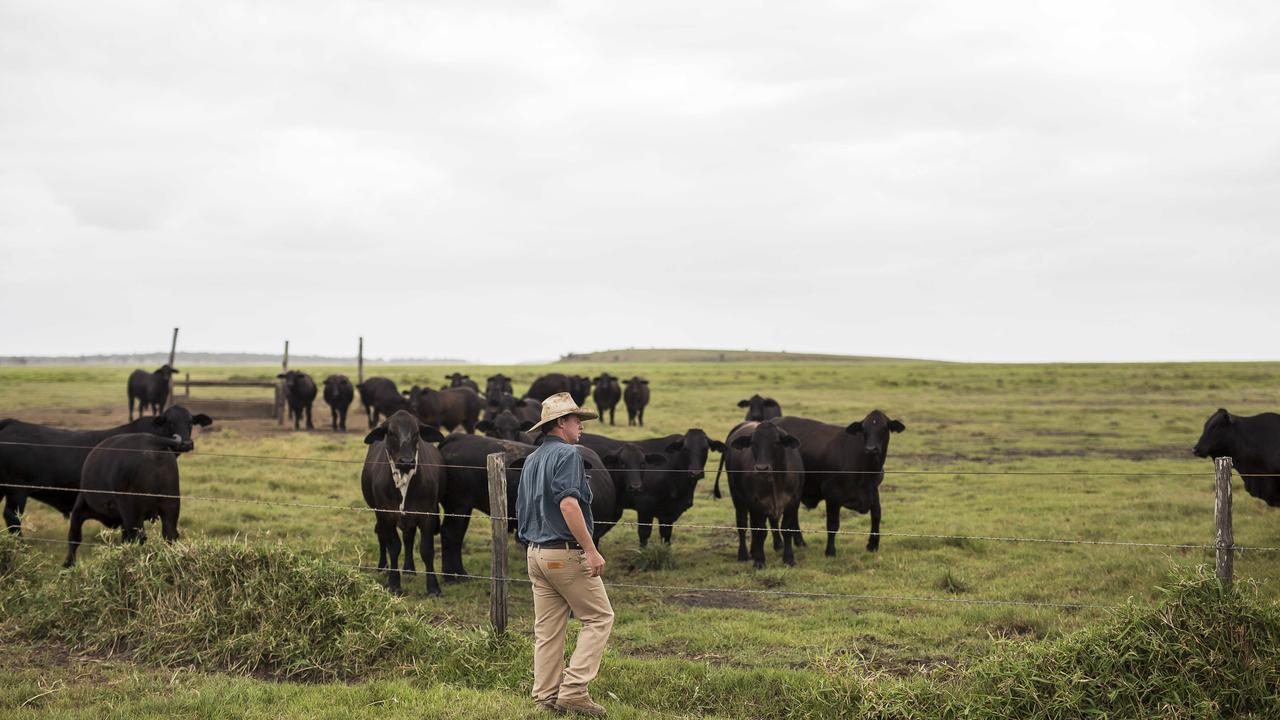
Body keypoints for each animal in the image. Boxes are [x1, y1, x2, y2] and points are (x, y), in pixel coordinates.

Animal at [0, 404, 212, 532]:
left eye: (191, 422)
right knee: (12, 517)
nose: (186, 443)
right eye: (170, 422)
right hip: (17, 491)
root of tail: (11, 423)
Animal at [62, 430, 188, 566]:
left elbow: (74, 536)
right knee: (170, 535)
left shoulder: (80, 508)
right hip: (170, 506)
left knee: (139, 538)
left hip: (133, 513)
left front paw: (68, 564)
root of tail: (152, 441)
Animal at [363, 409, 448, 594]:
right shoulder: (385, 514)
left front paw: (433, 586)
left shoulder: (427, 514)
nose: (407, 461)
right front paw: (394, 583)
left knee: (409, 537)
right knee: (382, 536)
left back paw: (409, 568)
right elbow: (393, 546)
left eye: (416, 433)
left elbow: (426, 550)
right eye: (391, 433)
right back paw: (383, 566)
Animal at [732, 420, 798, 566]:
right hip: (738, 498)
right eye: (753, 443)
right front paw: (759, 561)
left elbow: (786, 529)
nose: (762, 468)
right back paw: (743, 554)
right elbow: (761, 533)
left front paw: (789, 558)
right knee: (742, 525)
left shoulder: (792, 503)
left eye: (776, 442)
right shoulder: (756, 504)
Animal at [773, 409, 906, 556]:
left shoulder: (873, 489)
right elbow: (833, 524)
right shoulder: (831, 493)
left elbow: (876, 514)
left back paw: (800, 542)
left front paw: (873, 545)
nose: (871, 449)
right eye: (864, 429)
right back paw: (780, 544)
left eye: (884, 428)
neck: (866, 470)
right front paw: (830, 551)